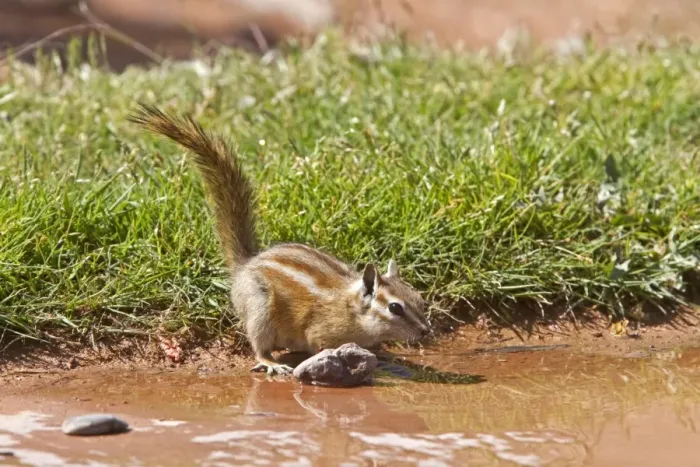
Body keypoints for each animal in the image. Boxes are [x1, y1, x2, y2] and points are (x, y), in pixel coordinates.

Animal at [128, 103, 432, 375]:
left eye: (419, 299)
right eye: (395, 308)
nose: (426, 331)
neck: (352, 309)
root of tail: (245, 265)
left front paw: (383, 358)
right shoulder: (320, 331)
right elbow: (320, 345)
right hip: (260, 308)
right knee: (259, 346)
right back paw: (272, 363)